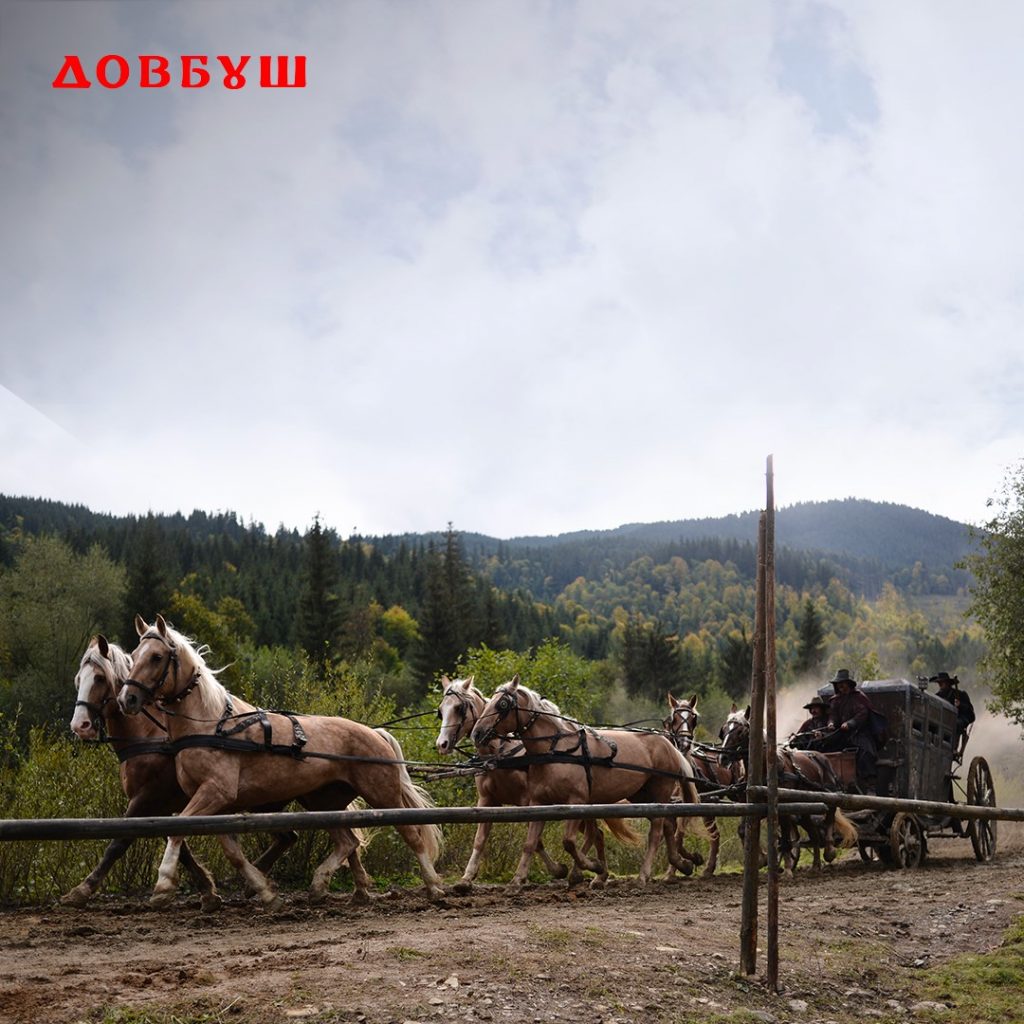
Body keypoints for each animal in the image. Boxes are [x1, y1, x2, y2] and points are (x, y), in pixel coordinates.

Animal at [117, 614, 442, 913]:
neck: (211, 725)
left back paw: (434, 886)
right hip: (323, 802)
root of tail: (375, 733)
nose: (126, 699)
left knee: (412, 835)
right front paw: (265, 891)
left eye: (157, 657)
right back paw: (331, 887)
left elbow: (177, 830)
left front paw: (163, 885)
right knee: (347, 842)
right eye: (134, 655)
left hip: (383, 794)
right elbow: (232, 852)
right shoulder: (217, 804)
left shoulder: (216, 792)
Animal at [436, 679, 643, 888]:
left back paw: (585, 872)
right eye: (440, 711)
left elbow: (536, 841)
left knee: (592, 834)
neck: (501, 753)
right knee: (597, 834)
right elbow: (480, 839)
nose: (441, 744)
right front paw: (467, 877)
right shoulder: (487, 800)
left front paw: (557, 869)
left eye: (459, 708)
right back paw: (598, 875)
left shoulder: (528, 801)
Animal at [468, 675, 700, 884]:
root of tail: (668, 744)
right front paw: (517, 880)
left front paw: (593, 867)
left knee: (657, 831)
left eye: (502, 704)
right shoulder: (538, 802)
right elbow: (531, 842)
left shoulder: (576, 801)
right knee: (668, 824)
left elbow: (569, 842)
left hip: (661, 789)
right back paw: (682, 863)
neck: (556, 749)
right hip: (641, 795)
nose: (477, 733)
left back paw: (644, 875)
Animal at [712, 704, 856, 872]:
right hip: (804, 809)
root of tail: (820, 756)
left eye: (740, 732)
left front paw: (785, 867)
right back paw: (815, 865)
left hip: (828, 795)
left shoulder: (781, 807)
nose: (722, 758)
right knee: (813, 832)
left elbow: (786, 837)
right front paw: (762, 860)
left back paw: (829, 850)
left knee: (829, 817)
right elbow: (744, 830)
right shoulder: (753, 805)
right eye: (723, 731)